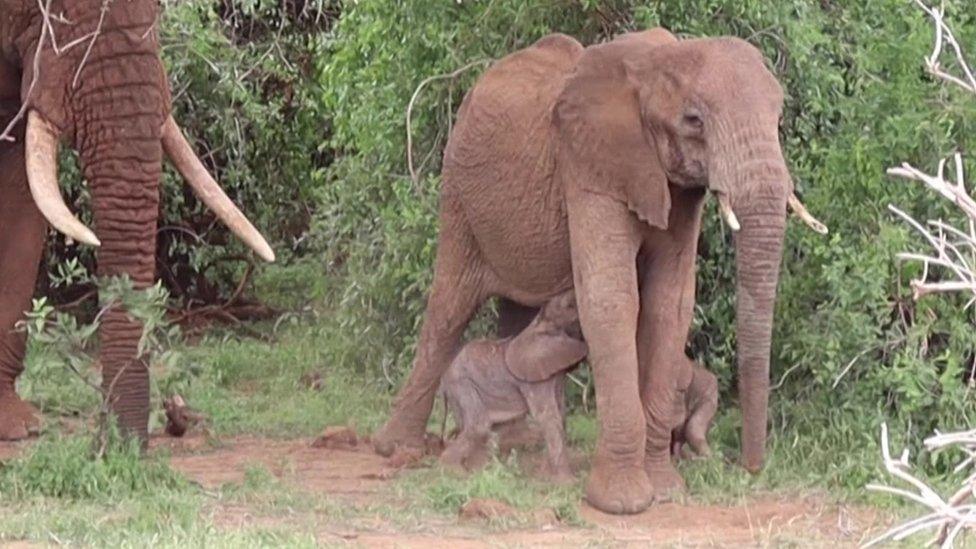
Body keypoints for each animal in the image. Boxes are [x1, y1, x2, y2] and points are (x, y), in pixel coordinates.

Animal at [374, 26, 824, 512]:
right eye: (693, 121)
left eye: (778, 119)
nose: (749, 468)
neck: (661, 62)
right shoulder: (588, 166)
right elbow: (612, 296)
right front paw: (621, 503)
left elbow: (671, 304)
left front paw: (665, 491)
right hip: (459, 194)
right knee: (449, 306)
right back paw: (398, 449)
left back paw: (516, 445)